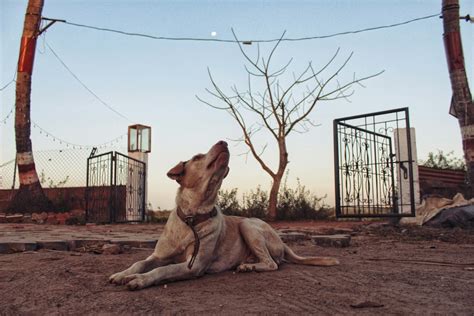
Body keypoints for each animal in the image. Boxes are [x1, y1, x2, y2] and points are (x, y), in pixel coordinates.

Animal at [109, 142, 338, 290]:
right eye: (197, 157)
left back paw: (249, 266)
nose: (223, 141)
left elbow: (163, 271)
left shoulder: (194, 265)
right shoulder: (158, 256)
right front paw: (123, 274)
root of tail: (282, 241)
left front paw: (139, 279)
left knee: (273, 263)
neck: (192, 218)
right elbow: (139, 263)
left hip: (248, 225)